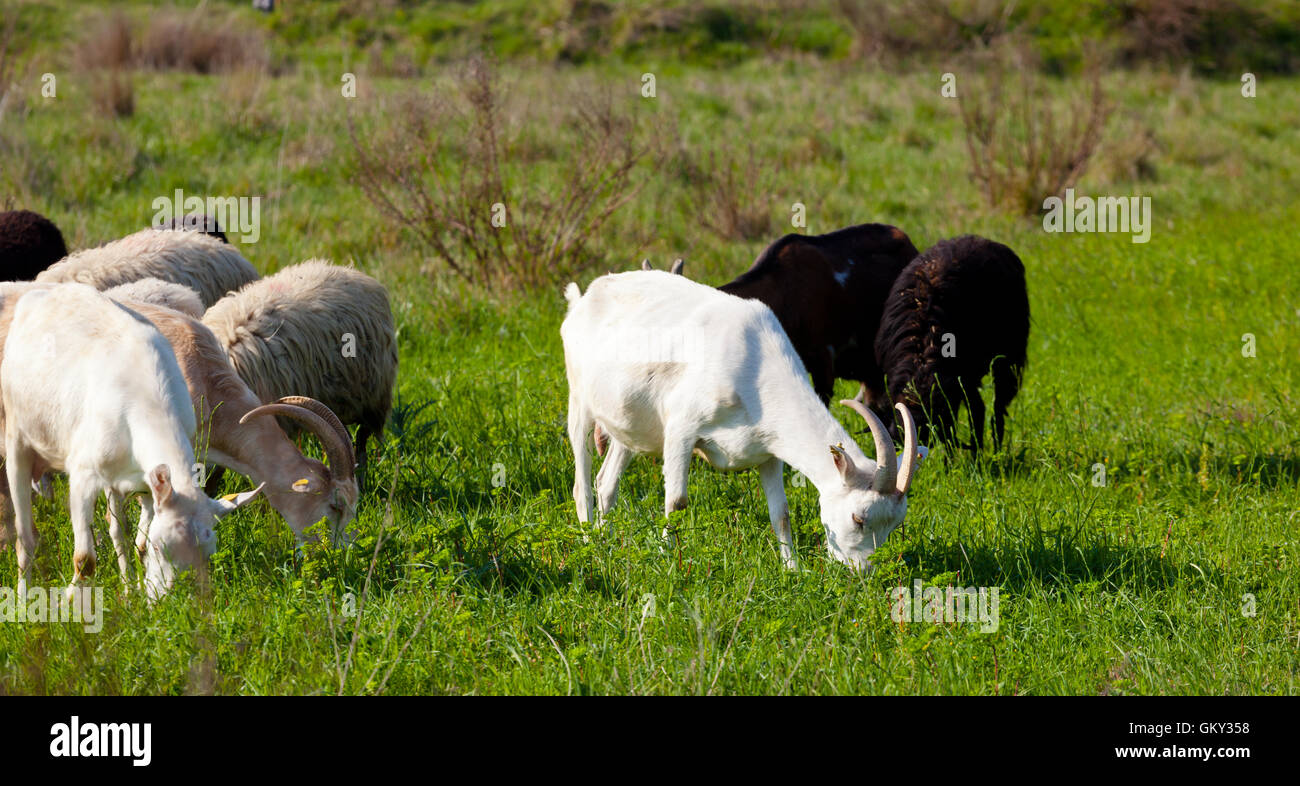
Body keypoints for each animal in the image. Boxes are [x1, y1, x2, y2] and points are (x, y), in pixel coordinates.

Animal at [0, 284, 262, 601]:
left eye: (208, 554)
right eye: (161, 547)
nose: (171, 600)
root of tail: (43, 292)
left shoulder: (144, 483)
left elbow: (135, 541)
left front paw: (134, 593)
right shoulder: (82, 477)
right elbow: (85, 560)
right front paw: (68, 603)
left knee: (116, 530)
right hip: (17, 440)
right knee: (24, 535)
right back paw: (22, 597)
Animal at [562, 270, 923, 570]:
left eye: (894, 525)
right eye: (858, 518)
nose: (862, 572)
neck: (755, 369)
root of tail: (583, 298)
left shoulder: (769, 451)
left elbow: (781, 513)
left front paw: (793, 570)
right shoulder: (681, 429)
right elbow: (676, 500)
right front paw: (667, 561)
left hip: (628, 426)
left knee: (606, 482)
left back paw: (606, 542)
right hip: (579, 401)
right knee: (582, 482)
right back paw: (589, 544)